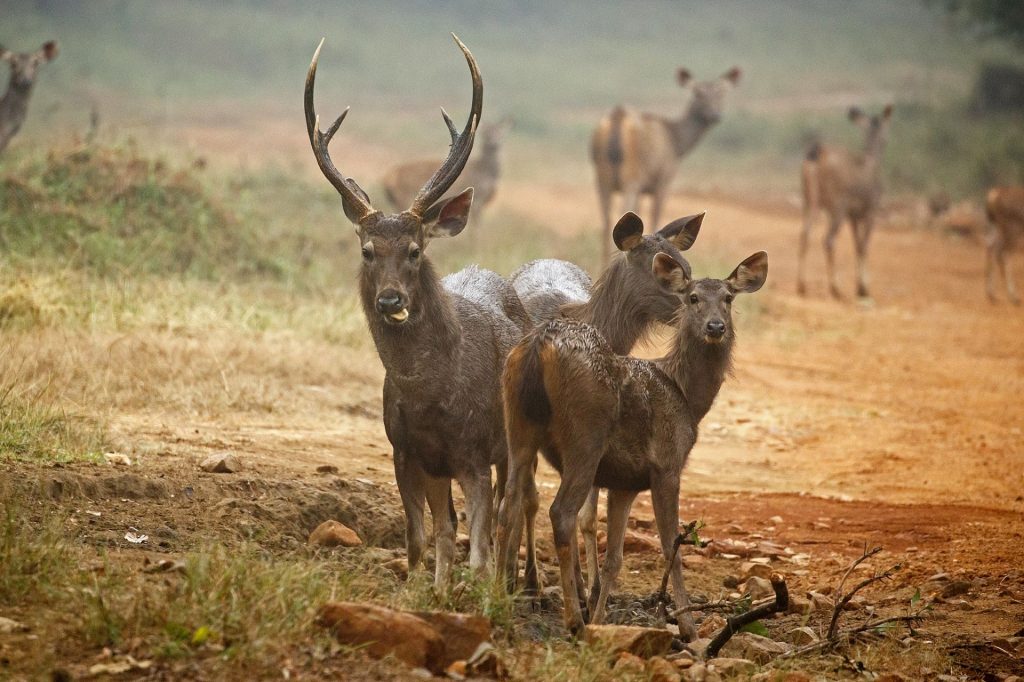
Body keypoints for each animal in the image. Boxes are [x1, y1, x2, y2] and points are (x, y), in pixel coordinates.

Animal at [381, 119, 512, 221]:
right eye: (486, 133)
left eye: (500, 133)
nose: (494, 142)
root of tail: (387, 179)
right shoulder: (477, 199)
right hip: (403, 197)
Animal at [498, 210, 704, 598]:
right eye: (662, 270)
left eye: (687, 265)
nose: (697, 307)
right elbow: (542, 502)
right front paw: (533, 581)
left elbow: (588, 516)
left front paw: (589, 586)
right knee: (524, 497)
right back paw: (520, 577)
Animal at [499, 249, 768, 639]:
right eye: (692, 298)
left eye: (728, 298)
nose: (715, 327)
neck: (687, 396)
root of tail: (537, 344)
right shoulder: (667, 465)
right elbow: (672, 546)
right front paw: (689, 627)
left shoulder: (623, 483)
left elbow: (614, 558)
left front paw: (602, 616)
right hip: (585, 438)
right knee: (560, 512)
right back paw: (573, 620)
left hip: (517, 426)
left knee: (508, 505)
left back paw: (495, 595)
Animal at [591, 67, 740, 264]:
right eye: (697, 93)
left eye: (722, 93)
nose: (715, 115)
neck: (678, 144)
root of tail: (618, 116)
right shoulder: (664, 179)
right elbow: (655, 218)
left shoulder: (643, 187)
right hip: (631, 175)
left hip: (602, 175)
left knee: (606, 217)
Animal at [797, 105, 893, 300]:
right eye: (885, 137)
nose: (886, 141)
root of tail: (817, 152)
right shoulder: (871, 210)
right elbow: (864, 246)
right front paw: (863, 289)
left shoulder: (853, 215)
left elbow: (857, 245)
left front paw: (859, 287)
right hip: (836, 205)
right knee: (828, 239)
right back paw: (835, 289)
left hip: (809, 201)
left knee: (804, 234)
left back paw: (802, 286)